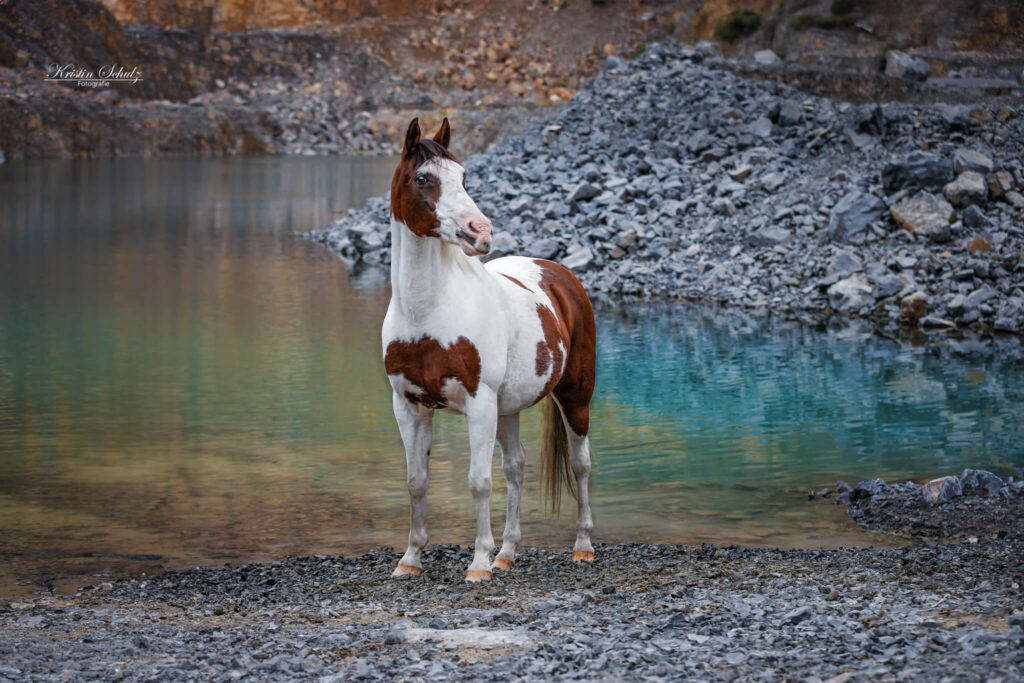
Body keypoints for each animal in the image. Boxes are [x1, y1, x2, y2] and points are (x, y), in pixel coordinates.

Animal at [381, 117, 597, 582]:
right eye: (423, 178)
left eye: (464, 177)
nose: (479, 233)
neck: (427, 313)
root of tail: (558, 273)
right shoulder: (408, 406)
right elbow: (416, 481)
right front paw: (410, 559)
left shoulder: (478, 404)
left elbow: (478, 481)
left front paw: (478, 563)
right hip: (508, 409)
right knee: (515, 468)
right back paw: (508, 554)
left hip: (575, 395)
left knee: (580, 463)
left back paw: (582, 547)